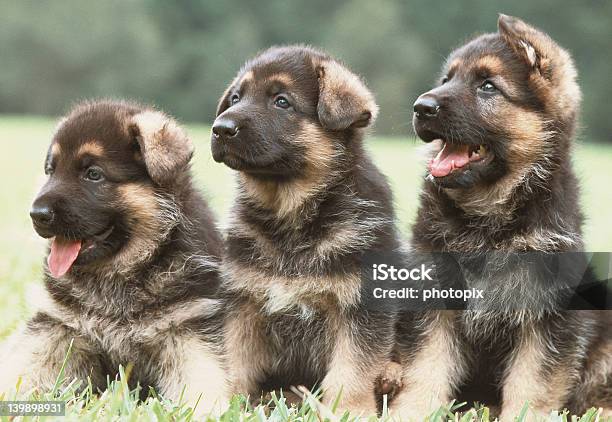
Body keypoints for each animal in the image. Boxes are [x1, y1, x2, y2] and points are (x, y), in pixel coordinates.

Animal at [0, 100, 230, 414]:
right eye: (51, 170)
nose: (37, 215)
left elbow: (204, 379)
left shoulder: (187, 328)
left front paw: (208, 411)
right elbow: (20, 367)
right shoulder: (56, 326)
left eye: (93, 174)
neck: (118, 272)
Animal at [390, 14, 608, 420]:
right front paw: (410, 411)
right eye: (446, 80)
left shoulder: (547, 313)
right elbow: (425, 366)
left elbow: (534, 380)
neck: (490, 219)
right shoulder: (433, 296)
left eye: (488, 87)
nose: (421, 107)